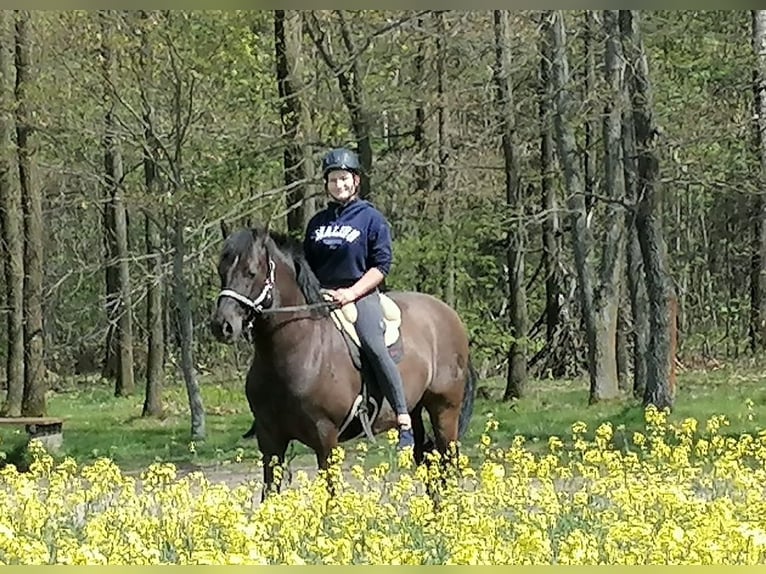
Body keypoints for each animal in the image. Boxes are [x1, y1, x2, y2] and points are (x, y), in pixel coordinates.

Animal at [207, 225, 476, 500]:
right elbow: (269, 495)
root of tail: (449, 314)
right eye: (221, 271)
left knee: (448, 462)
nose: (222, 325)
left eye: (250, 272)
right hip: (417, 411)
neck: (300, 348)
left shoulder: (325, 436)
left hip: (444, 410)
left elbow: (332, 493)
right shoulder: (270, 439)